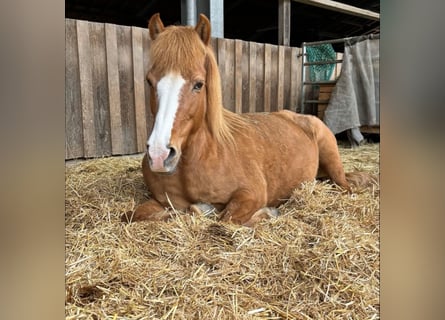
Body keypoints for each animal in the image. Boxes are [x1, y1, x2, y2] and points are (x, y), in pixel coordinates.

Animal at [121, 13, 372, 228]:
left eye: (199, 84)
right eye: (150, 81)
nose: (159, 155)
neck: (204, 155)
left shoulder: (251, 193)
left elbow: (227, 218)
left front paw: (268, 212)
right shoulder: (162, 201)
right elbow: (134, 215)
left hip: (333, 163)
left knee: (345, 187)